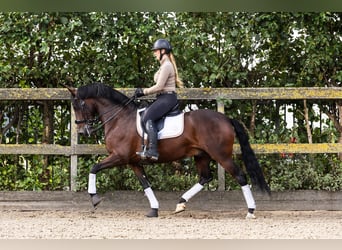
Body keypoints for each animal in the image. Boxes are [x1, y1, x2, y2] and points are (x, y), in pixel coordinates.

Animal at [65, 82, 272, 219]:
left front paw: (94, 199)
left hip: (221, 155)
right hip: (201, 155)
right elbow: (145, 183)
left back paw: (251, 211)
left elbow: (94, 168)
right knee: (205, 178)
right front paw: (154, 209)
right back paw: (180, 203)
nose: (82, 131)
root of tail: (226, 118)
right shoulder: (133, 162)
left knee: (240, 176)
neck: (119, 119)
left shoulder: (119, 157)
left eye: (78, 105)